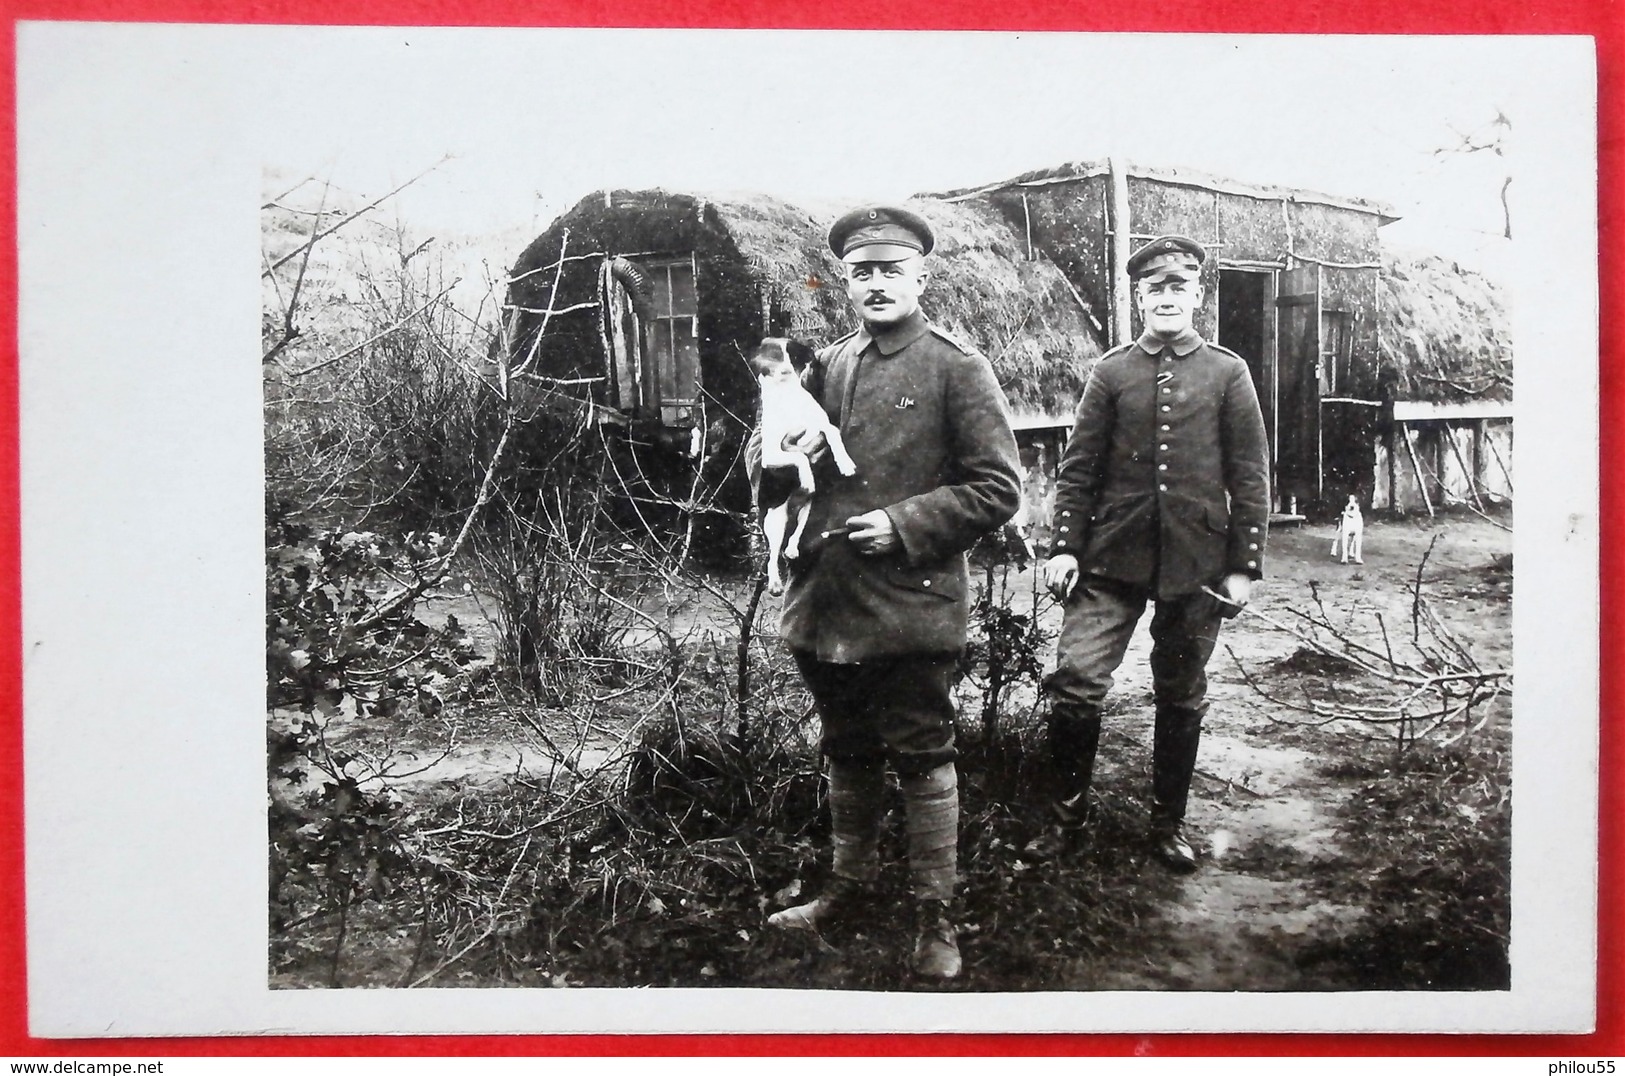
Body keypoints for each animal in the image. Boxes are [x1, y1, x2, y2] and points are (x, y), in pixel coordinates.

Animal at [747, 339, 858, 598]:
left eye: (792, 353)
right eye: (770, 355)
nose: (785, 368)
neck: (788, 399)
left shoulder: (822, 427)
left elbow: (833, 434)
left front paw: (845, 463)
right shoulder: (772, 456)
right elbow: (800, 457)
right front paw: (807, 478)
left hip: (807, 510)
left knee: (795, 536)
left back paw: (793, 549)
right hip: (774, 521)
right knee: (772, 556)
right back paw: (775, 583)